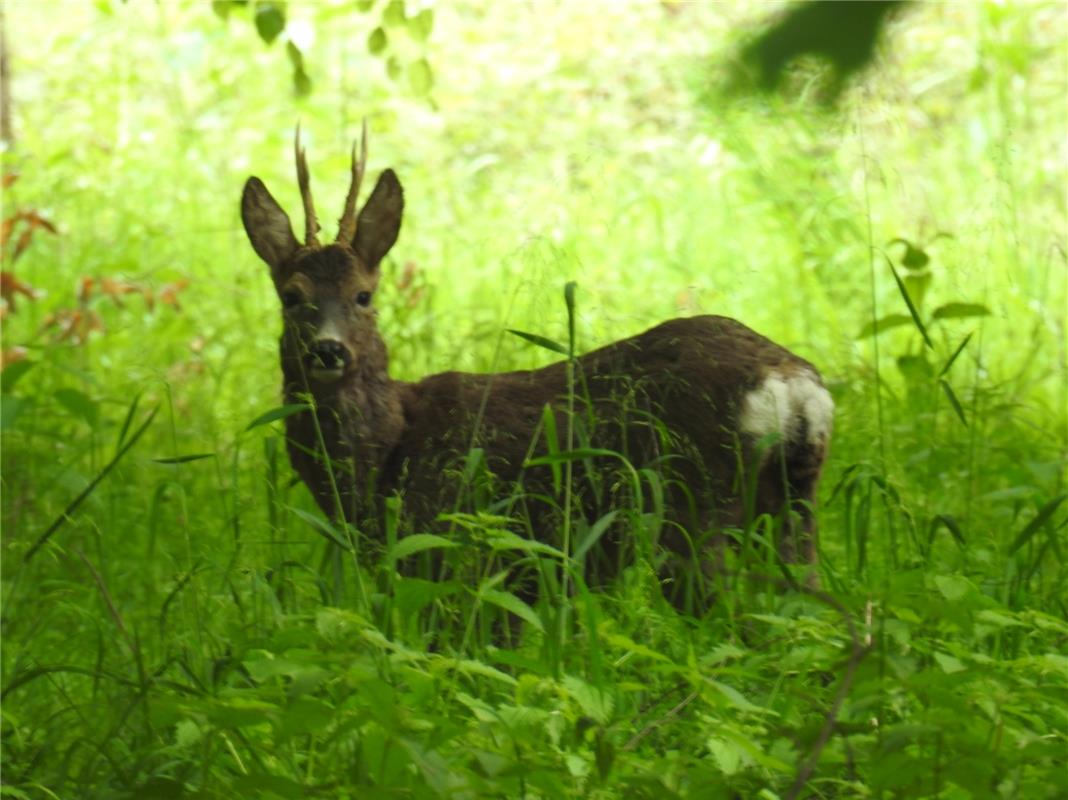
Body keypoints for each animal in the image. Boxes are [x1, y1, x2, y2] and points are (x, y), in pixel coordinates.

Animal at [242, 128, 833, 589]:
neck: (388, 452)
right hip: (794, 500)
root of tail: (792, 384)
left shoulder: (457, 550)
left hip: (693, 506)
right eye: (291, 296)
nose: (328, 349)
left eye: (364, 295)